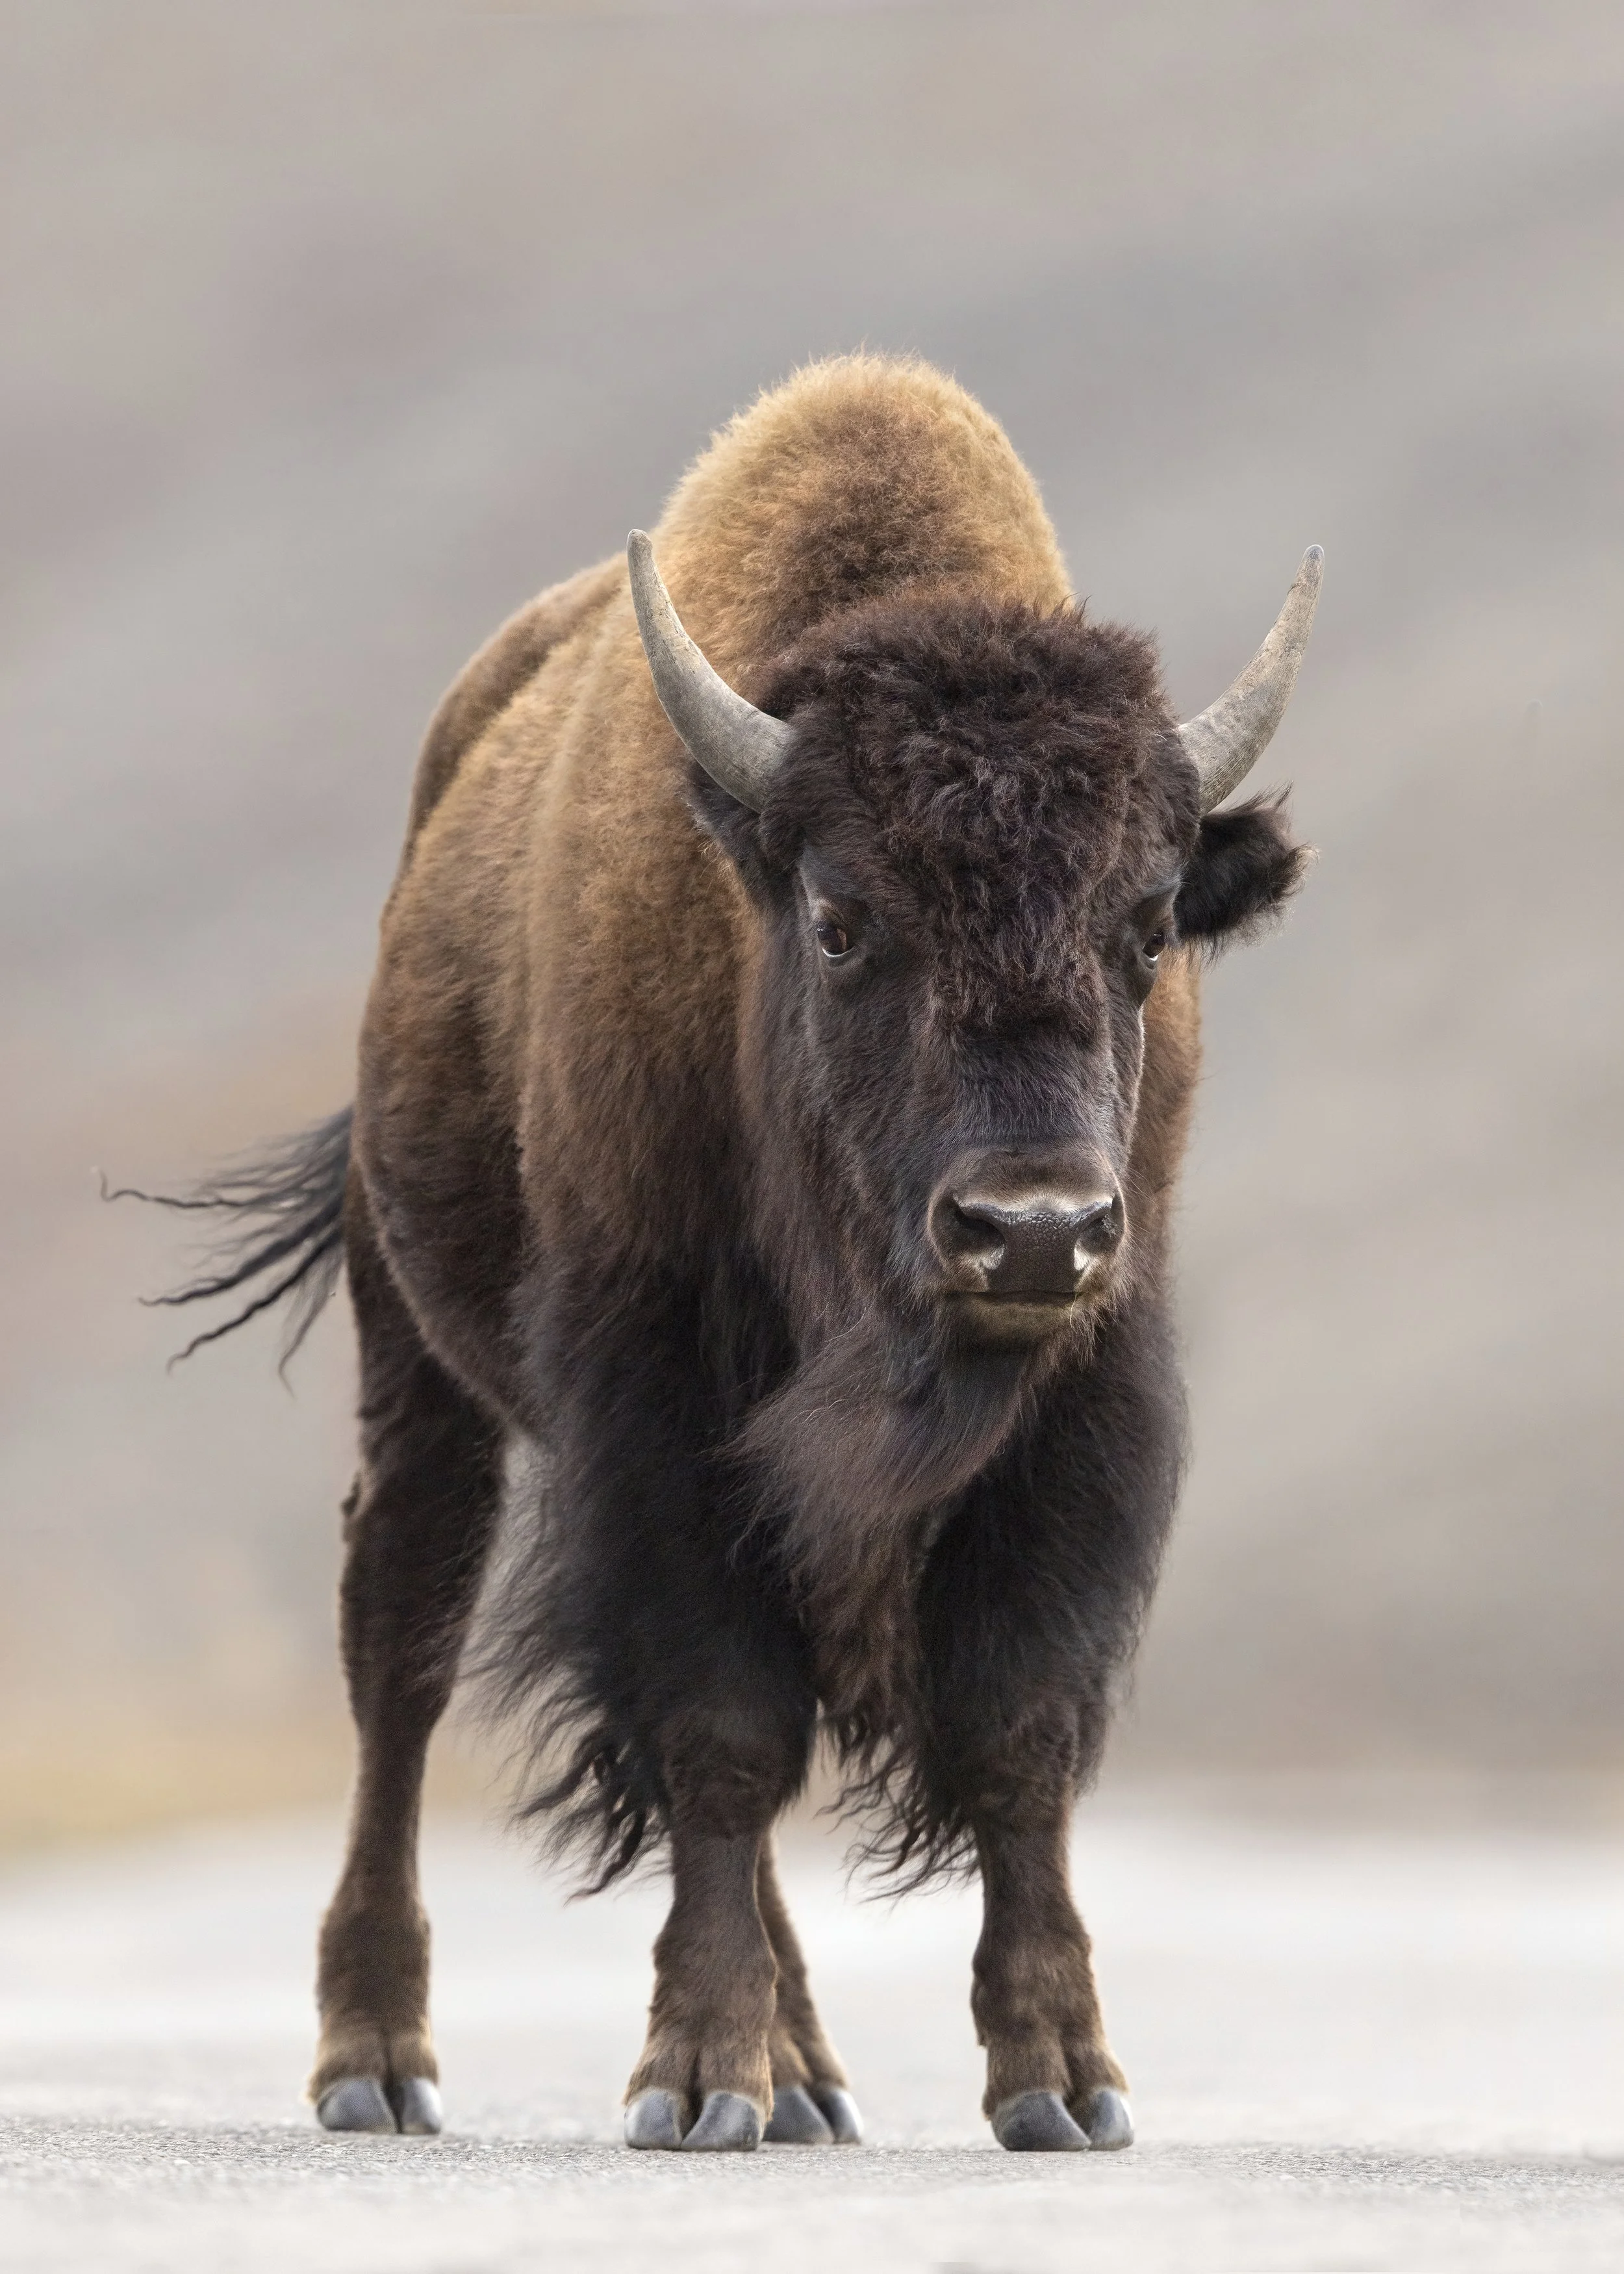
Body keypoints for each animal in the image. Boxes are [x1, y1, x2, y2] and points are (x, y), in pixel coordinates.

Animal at [154, 355, 1319, 2154]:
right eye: (842, 922)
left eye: (1144, 927)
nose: (1029, 1229)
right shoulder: (653, 1398)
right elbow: (719, 1727)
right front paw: (691, 2078)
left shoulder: (1081, 1403)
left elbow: (1016, 1730)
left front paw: (1061, 2085)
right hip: (419, 1366)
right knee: (400, 1649)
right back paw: (382, 2063)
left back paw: (812, 2081)